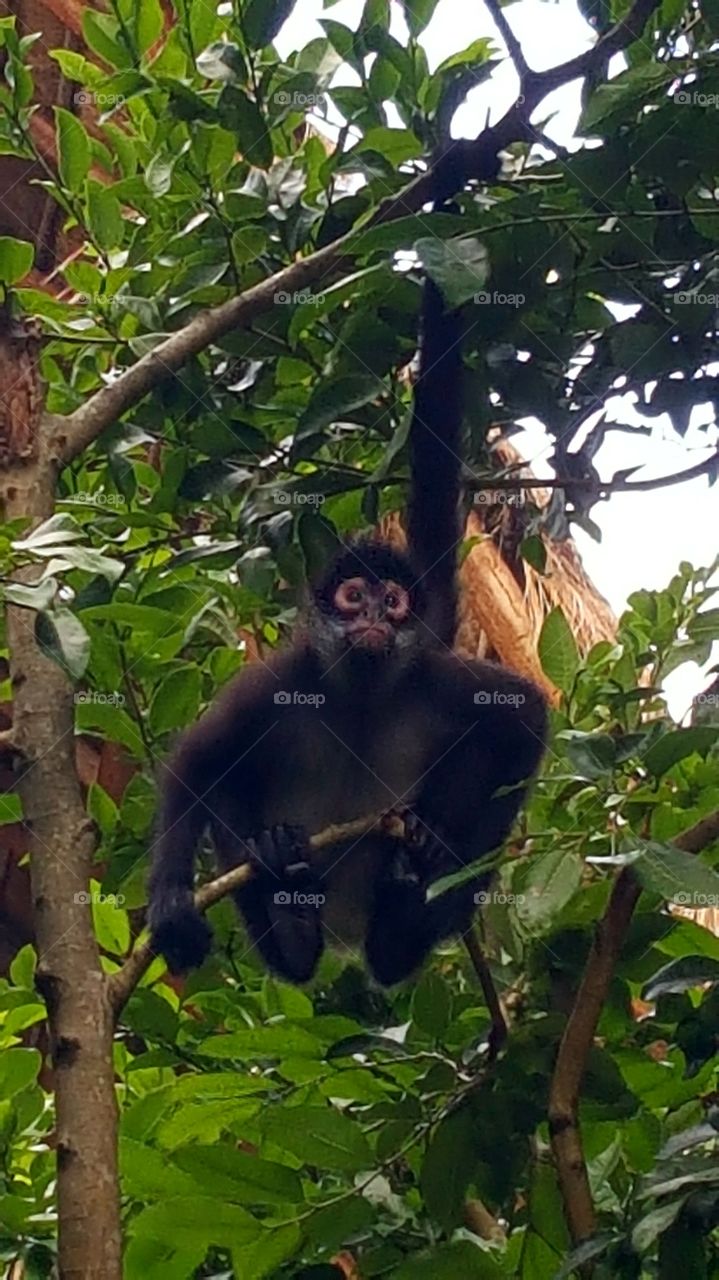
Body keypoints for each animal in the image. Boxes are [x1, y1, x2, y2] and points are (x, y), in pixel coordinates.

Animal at [147, 280, 548, 986]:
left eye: (392, 602)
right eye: (353, 597)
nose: (372, 621)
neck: (360, 697)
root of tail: (346, 933)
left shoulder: (429, 676)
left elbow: (526, 718)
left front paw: (444, 861)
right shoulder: (283, 678)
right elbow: (197, 760)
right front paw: (170, 898)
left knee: (390, 958)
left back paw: (405, 905)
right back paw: (286, 906)